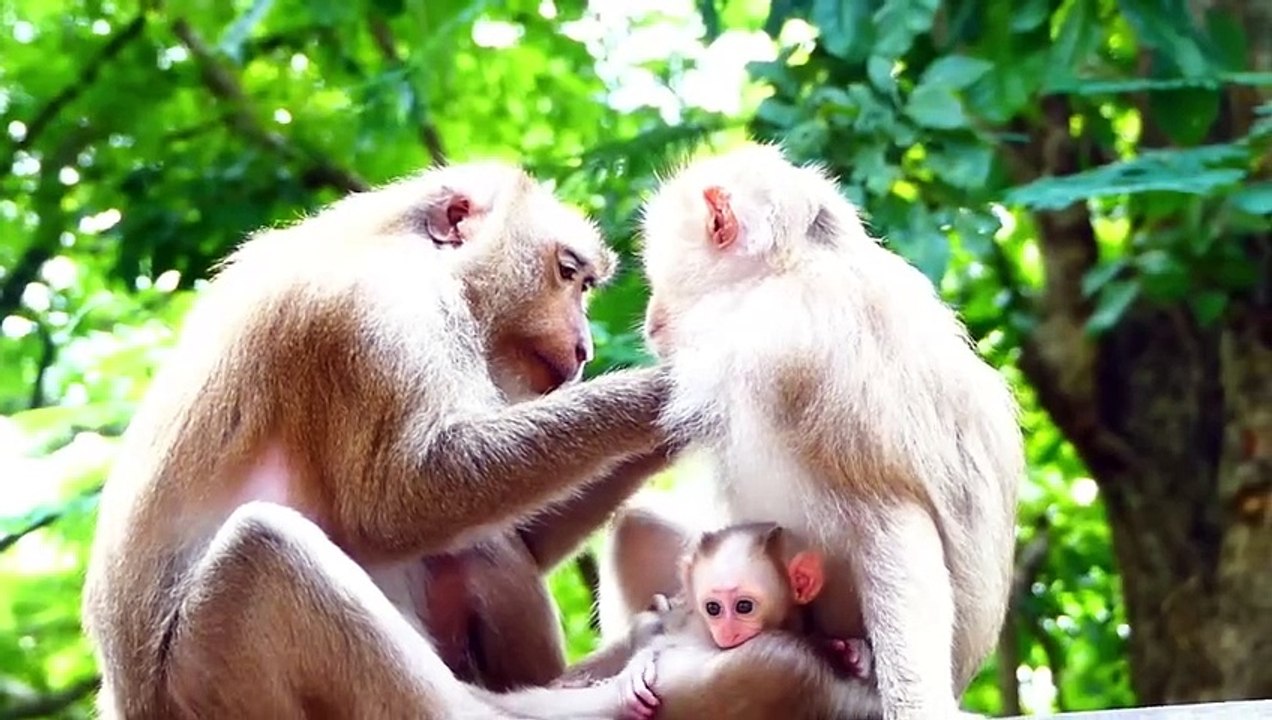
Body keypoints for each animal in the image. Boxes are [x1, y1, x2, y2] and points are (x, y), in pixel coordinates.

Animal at [79, 160, 680, 718]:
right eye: (568, 273)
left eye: (585, 285)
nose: (583, 347)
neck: (406, 246)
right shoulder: (376, 312)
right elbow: (402, 497)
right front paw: (666, 390)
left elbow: (512, 532)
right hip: (209, 680)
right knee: (264, 547)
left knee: (476, 545)